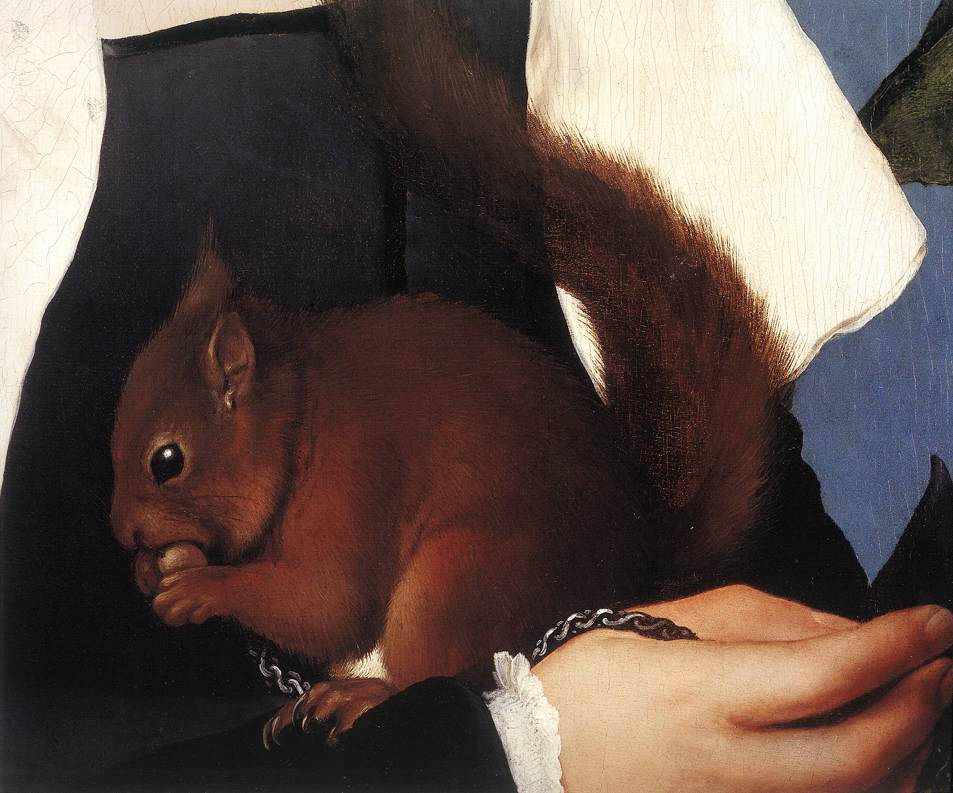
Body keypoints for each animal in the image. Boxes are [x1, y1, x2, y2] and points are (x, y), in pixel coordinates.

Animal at [109, 0, 791, 747]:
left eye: (167, 460)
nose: (123, 534)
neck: (300, 416)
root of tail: (626, 576)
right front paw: (153, 570)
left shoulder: (355, 477)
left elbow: (326, 599)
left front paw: (200, 587)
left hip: (458, 578)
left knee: (448, 670)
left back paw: (360, 695)